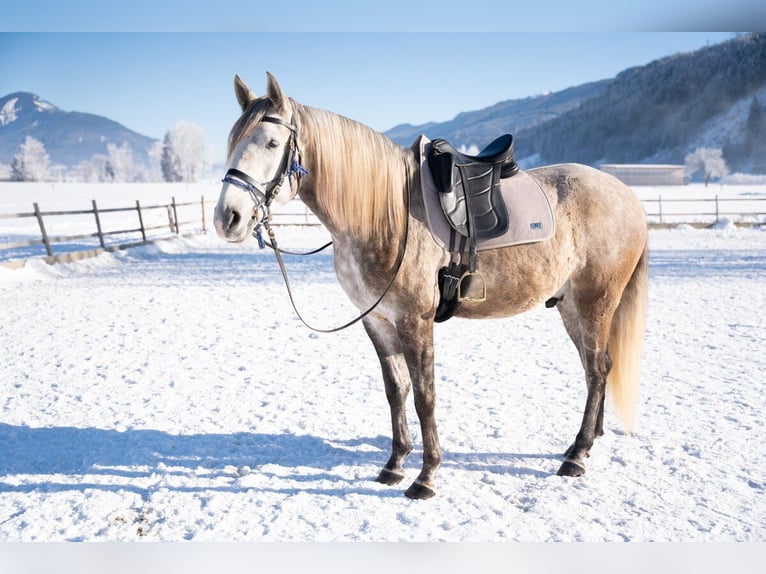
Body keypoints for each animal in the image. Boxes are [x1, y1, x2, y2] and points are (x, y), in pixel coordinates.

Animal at [214, 72, 648, 502]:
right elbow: (396, 390)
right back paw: (586, 442)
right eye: (233, 141)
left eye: (271, 143)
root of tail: (626, 195)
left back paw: (576, 455)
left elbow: (425, 395)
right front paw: (394, 464)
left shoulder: (414, 320)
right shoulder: (378, 321)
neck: (387, 214)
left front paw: (426, 476)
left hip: (595, 302)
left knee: (597, 370)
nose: (227, 217)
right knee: (597, 367)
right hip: (571, 307)